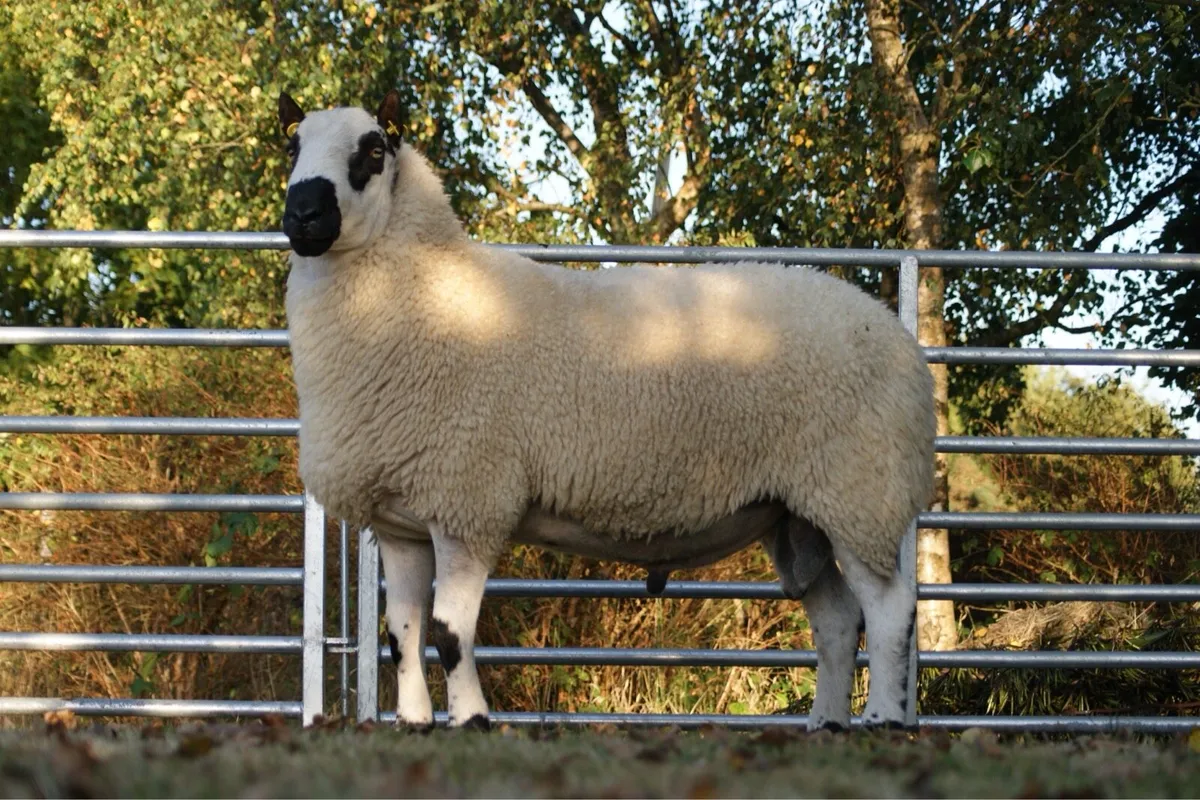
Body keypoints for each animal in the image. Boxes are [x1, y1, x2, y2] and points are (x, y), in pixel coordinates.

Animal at [277, 90, 936, 732]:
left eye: (373, 151)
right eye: (292, 146)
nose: (303, 214)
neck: (422, 292)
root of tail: (900, 340)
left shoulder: (469, 501)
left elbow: (449, 635)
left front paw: (472, 721)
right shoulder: (402, 519)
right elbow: (402, 637)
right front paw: (414, 725)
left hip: (860, 491)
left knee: (889, 610)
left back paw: (883, 720)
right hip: (799, 513)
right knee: (838, 619)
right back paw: (826, 726)